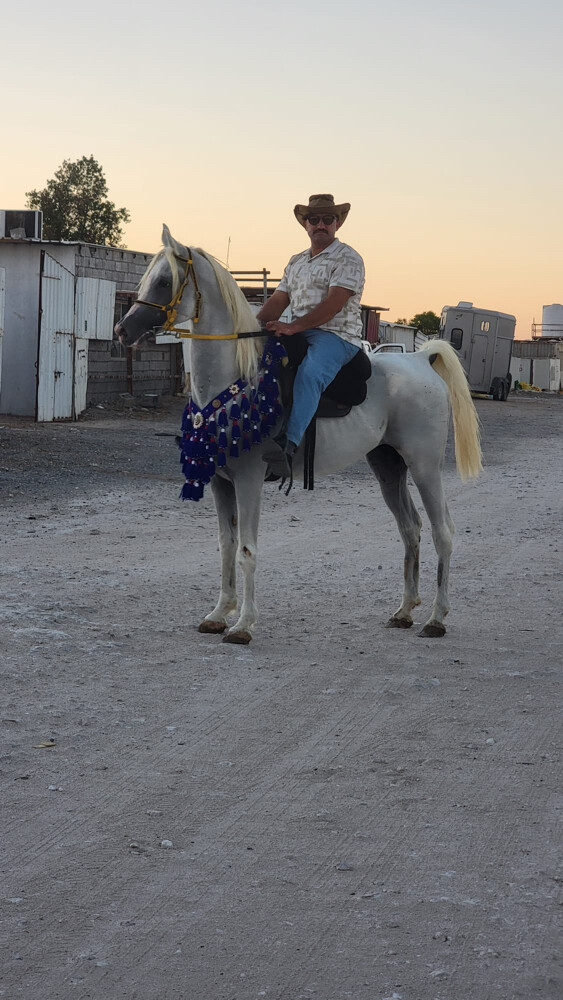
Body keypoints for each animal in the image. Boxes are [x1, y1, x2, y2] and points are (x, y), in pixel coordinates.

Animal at [115, 224, 482, 644]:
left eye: (164, 280)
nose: (123, 329)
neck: (235, 379)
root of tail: (421, 359)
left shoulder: (248, 479)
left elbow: (246, 550)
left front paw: (243, 625)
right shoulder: (221, 482)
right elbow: (225, 546)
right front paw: (219, 614)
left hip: (424, 466)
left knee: (443, 532)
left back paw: (436, 619)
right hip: (388, 467)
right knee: (411, 529)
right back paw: (404, 612)